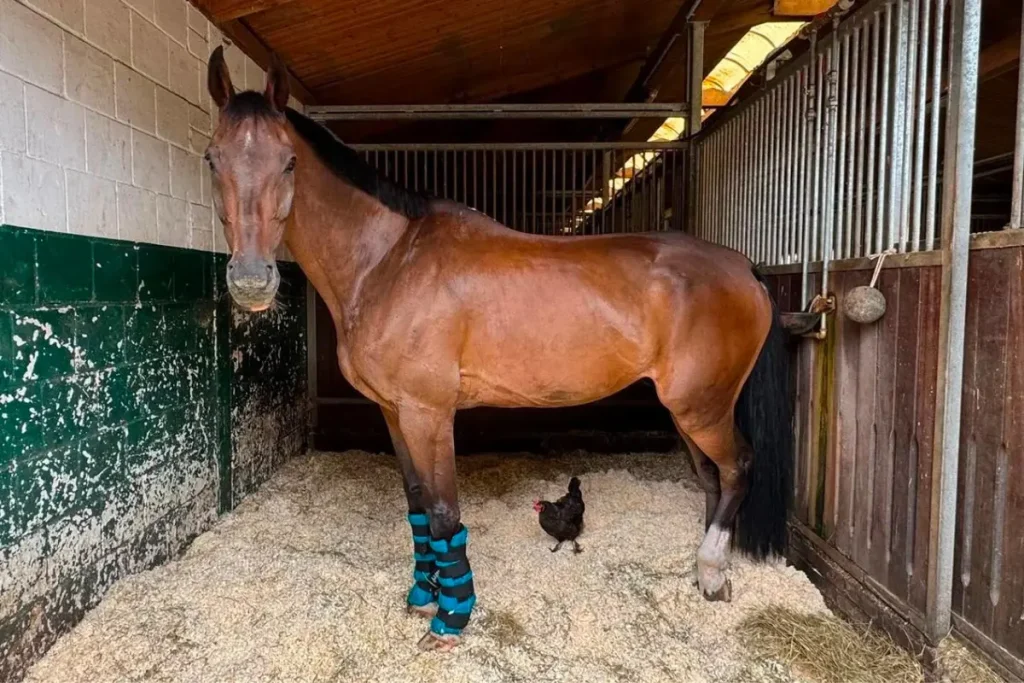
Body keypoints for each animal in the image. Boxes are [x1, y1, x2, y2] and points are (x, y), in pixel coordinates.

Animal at [204, 47, 793, 651]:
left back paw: (713, 571)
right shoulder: (394, 412)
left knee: (738, 468)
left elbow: (443, 513)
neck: (389, 260)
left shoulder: (429, 414)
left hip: (702, 406)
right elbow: (417, 504)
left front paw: (451, 618)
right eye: (212, 159)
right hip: (690, 410)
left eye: (289, 162)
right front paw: (423, 596)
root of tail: (741, 267)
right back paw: (705, 571)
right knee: (711, 477)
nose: (251, 281)